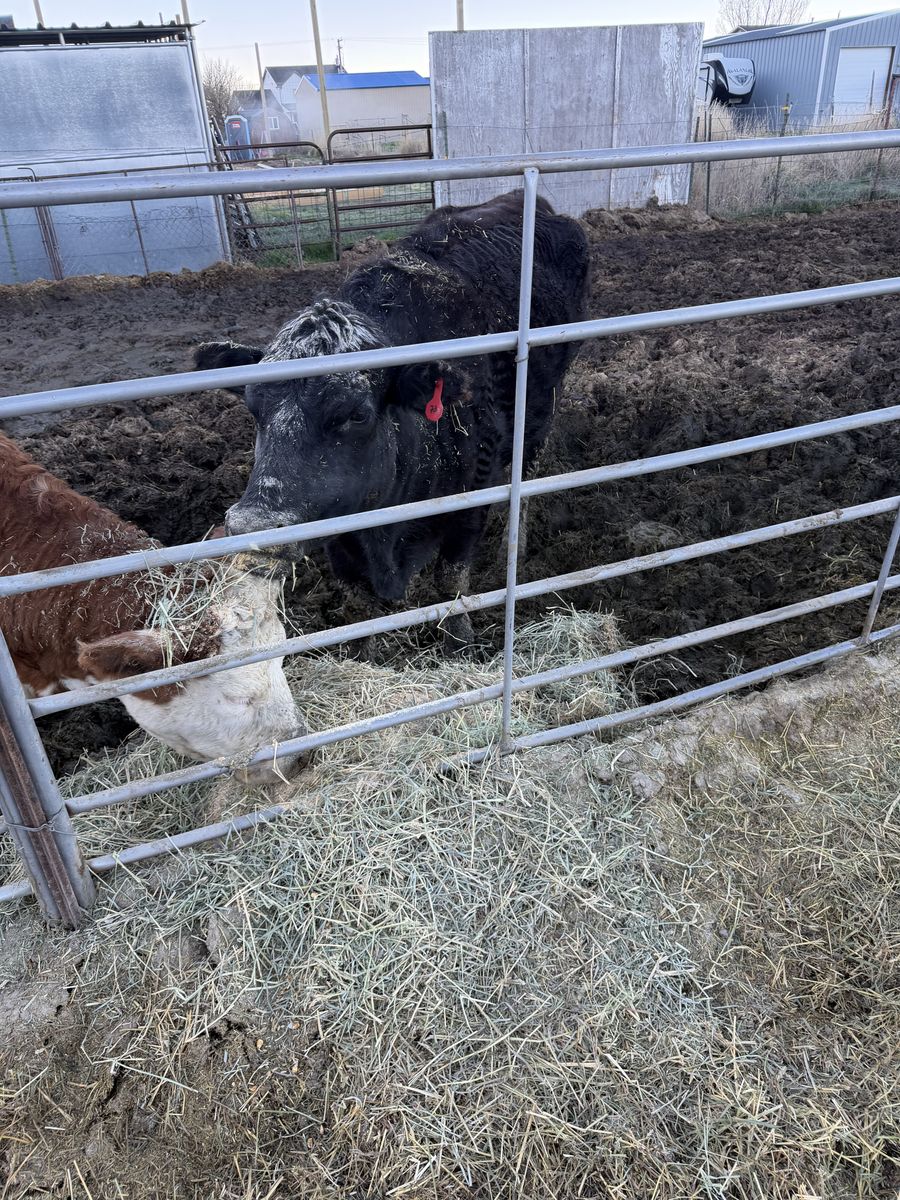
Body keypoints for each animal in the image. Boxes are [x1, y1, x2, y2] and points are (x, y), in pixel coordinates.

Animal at [195, 190, 590, 651]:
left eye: (358, 414)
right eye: (252, 408)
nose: (254, 525)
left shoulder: (472, 495)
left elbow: (451, 581)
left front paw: (461, 642)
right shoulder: (342, 524)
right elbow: (362, 601)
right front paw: (368, 650)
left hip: (542, 405)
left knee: (527, 473)